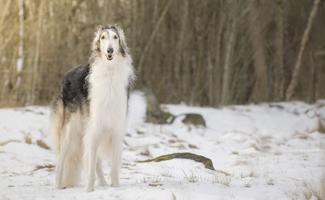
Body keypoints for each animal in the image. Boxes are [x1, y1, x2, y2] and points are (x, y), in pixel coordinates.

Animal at [50, 24, 134, 191]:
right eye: (103, 37)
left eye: (115, 37)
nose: (110, 51)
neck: (109, 72)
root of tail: (67, 75)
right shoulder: (94, 126)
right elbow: (90, 164)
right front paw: (89, 190)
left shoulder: (115, 128)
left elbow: (113, 167)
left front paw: (115, 187)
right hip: (71, 130)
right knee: (61, 160)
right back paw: (58, 186)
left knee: (96, 163)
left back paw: (103, 184)